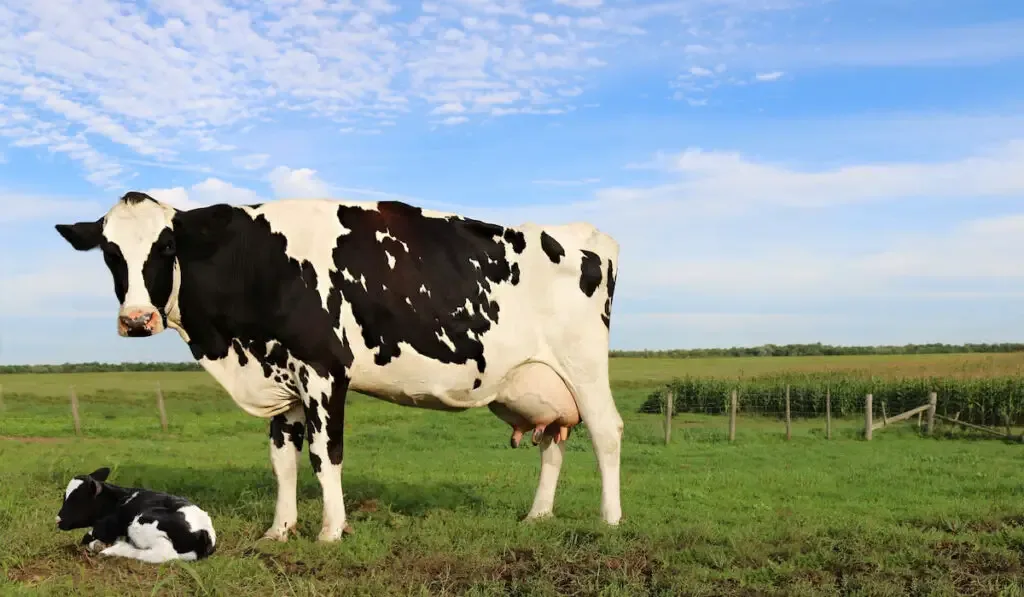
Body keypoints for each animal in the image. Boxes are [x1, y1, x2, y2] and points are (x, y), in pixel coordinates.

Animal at [56, 193, 622, 544]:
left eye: (168, 245)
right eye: (109, 252)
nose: (136, 319)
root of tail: (585, 233)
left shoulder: (324, 370)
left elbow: (325, 456)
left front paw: (331, 531)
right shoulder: (281, 378)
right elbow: (283, 462)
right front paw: (279, 531)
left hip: (584, 366)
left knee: (606, 431)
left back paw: (610, 520)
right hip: (543, 383)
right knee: (553, 442)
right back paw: (538, 515)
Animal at [57, 466, 217, 565]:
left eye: (76, 500)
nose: (57, 519)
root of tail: (205, 532)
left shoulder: (106, 526)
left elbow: (86, 537)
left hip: (141, 524)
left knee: (163, 554)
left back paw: (113, 549)